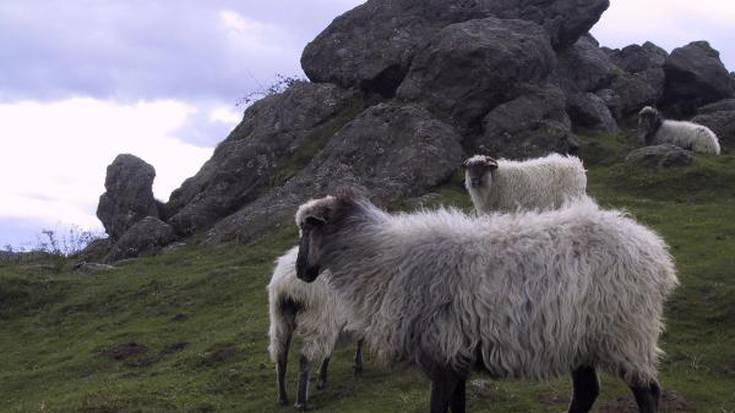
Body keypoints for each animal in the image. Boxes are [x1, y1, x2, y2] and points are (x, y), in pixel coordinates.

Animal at [268, 245, 366, 408]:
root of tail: (289, 284)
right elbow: (360, 339)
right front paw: (358, 365)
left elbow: (330, 349)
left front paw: (322, 377)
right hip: (319, 318)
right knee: (304, 358)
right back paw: (301, 402)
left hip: (280, 319)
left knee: (281, 356)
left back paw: (282, 397)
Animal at [292, 192, 680, 412]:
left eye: (307, 228)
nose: (301, 272)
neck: (382, 259)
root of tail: (656, 253)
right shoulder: (456, 356)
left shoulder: (442, 354)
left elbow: (439, 408)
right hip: (579, 337)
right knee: (587, 391)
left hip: (625, 332)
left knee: (648, 390)